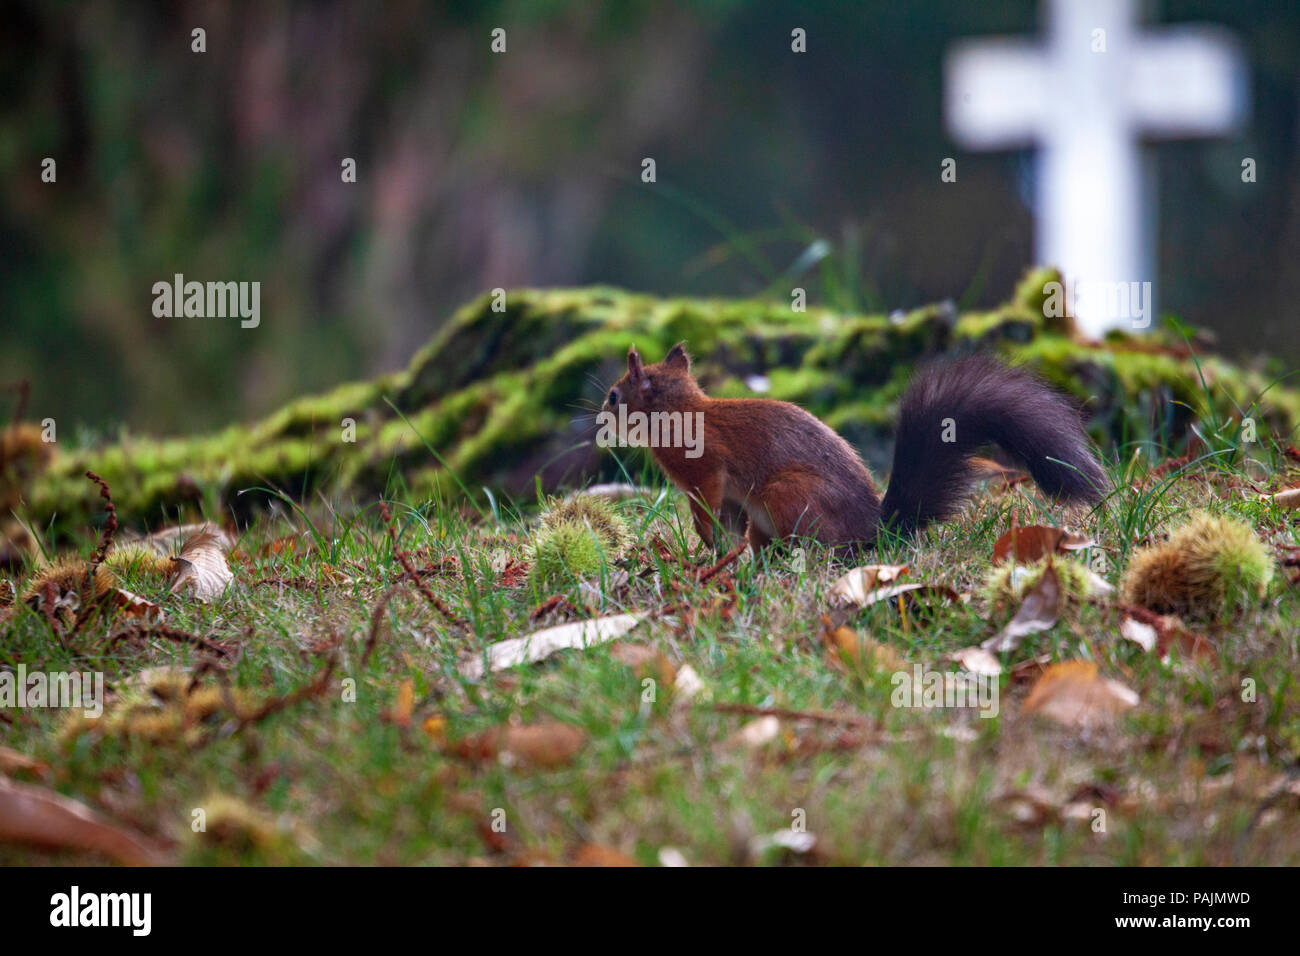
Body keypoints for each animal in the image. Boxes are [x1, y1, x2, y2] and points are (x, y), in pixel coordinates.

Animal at [600, 343, 1107, 554]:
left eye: (613, 394)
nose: (600, 415)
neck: (684, 411)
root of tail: (874, 531)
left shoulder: (706, 468)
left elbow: (706, 504)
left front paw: (706, 542)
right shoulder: (724, 493)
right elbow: (726, 517)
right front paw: (718, 548)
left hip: (787, 495)